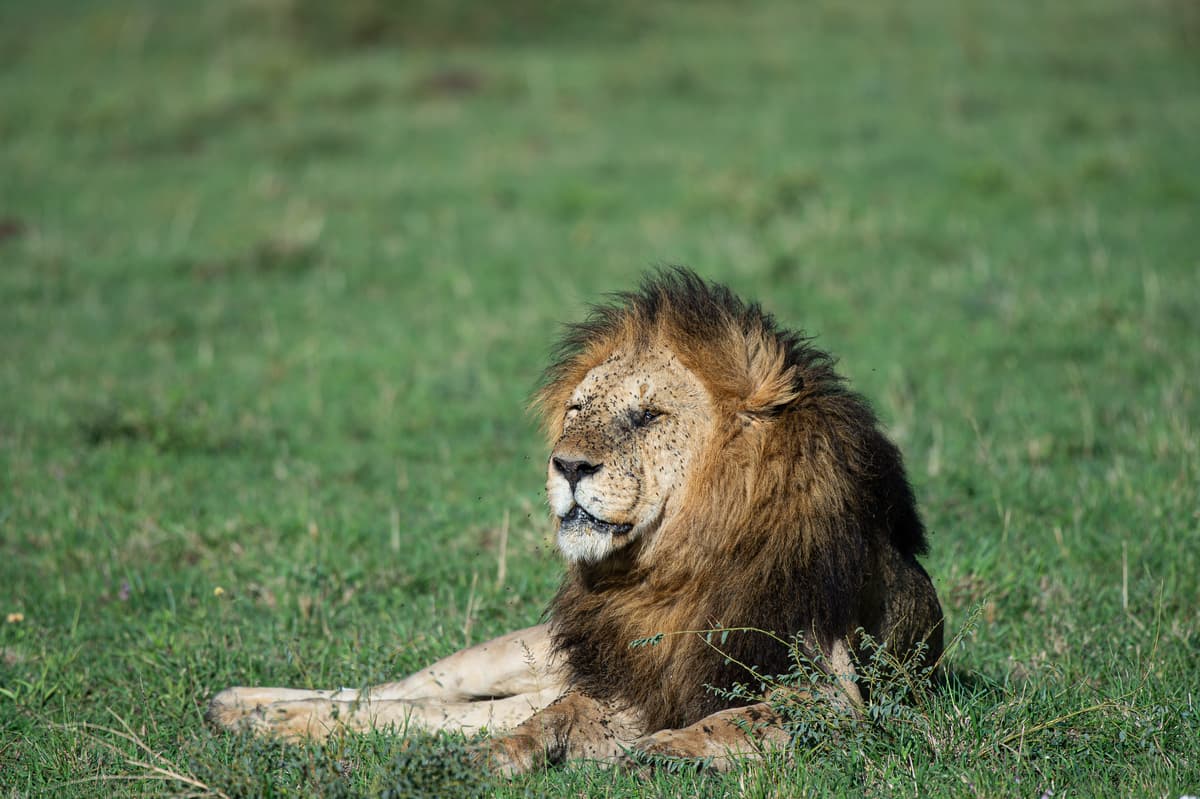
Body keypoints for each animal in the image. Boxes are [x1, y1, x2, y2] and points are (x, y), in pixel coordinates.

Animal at [207, 269, 944, 773]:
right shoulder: (623, 682)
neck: (675, 567)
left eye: (646, 416)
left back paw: (257, 718)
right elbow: (545, 722)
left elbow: (740, 718)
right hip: (517, 653)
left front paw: (664, 751)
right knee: (403, 691)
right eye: (576, 409)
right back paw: (246, 706)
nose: (566, 465)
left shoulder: (837, 696)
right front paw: (495, 760)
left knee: (426, 713)